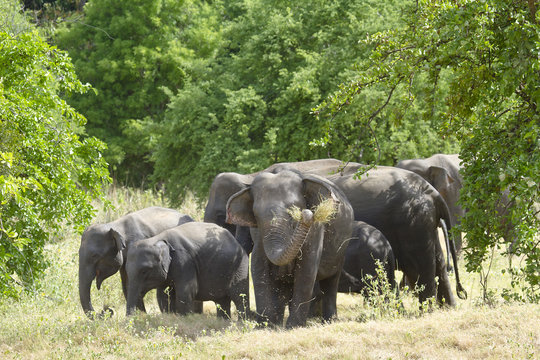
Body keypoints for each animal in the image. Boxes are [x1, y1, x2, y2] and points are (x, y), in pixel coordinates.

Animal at [225, 170, 354, 328]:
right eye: (256, 215)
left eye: (294, 209)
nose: (306, 214)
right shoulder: (258, 234)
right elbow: (258, 264)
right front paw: (265, 325)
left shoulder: (316, 229)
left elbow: (307, 268)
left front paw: (293, 326)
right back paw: (277, 322)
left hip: (341, 250)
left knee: (331, 281)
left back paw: (329, 321)